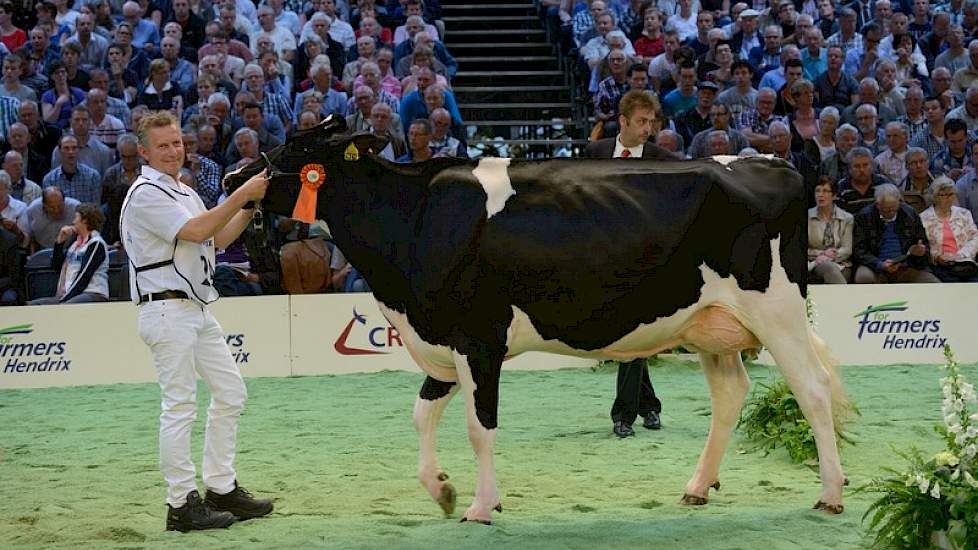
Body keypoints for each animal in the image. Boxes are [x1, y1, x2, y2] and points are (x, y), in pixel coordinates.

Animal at [227, 117, 848, 528]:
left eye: (299, 148)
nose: (235, 174)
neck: (415, 221)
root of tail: (770, 161)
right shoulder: (441, 341)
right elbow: (422, 415)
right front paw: (442, 490)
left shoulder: (478, 338)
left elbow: (479, 426)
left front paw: (480, 506)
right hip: (710, 325)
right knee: (730, 394)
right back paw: (697, 487)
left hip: (777, 311)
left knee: (813, 390)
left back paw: (831, 493)